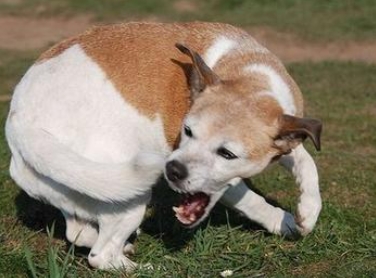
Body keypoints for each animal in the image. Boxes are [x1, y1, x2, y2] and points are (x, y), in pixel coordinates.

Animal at [5, 21, 322, 270]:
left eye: (227, 153)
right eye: (187, 130)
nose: (173, 170)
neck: (248, 74)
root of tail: (20, 121)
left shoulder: (288, 133)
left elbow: (307, 163)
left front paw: (307, 212)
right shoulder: (219, 182)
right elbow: (249, 199)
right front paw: (284, 220)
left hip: (74, 189)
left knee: (78, 234)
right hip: (128, 197)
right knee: (100, 255)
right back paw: (139, 267)